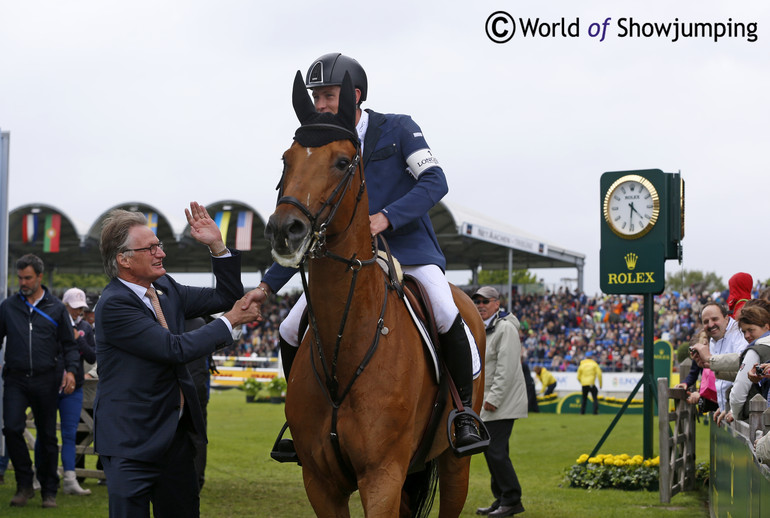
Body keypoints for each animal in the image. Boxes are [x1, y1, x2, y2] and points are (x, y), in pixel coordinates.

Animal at [264, 70, 480, 518]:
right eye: (286, 160)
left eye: (344, 162)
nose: (284, 231)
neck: (347, 342)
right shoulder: (320, 483)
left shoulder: (382, 476)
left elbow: (433, 180)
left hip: (454, 464)